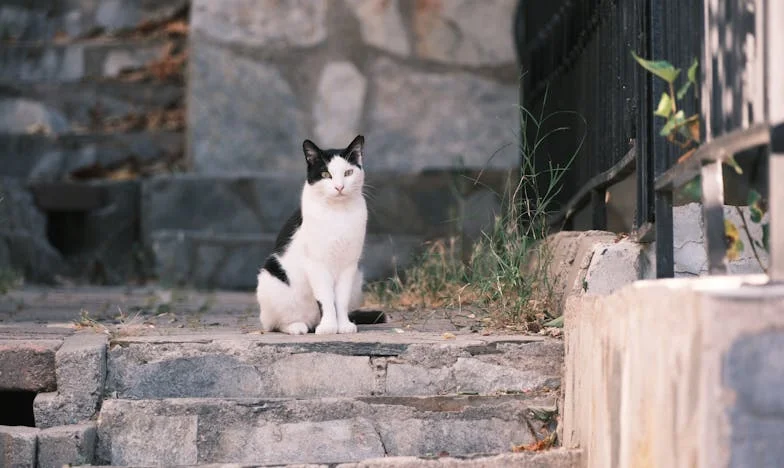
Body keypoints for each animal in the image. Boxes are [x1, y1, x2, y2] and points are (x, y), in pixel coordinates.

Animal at [256, 133, 370, 334]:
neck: (337, 212)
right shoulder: (316, 264)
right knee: (274, 324)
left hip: (358, 278)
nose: (339, 187)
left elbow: (340, 300)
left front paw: (343, 326)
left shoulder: (348, 265)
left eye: (348, 173)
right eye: (326, 175)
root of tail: (311, 322)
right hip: (270, 279)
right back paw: (297, 326)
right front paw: (329, 327)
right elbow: (326, 298)